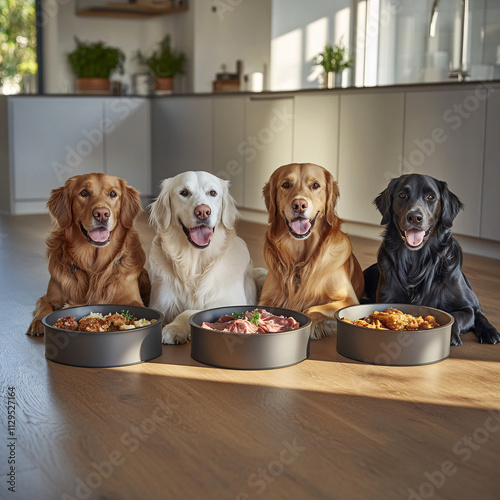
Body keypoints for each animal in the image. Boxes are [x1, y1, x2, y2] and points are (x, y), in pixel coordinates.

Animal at [364, 174, 500, 346]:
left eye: (430, 197)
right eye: (402, 195)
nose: (414, 217)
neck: (416, 262)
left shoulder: (466, 308)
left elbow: (457, 315)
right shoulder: (386, 299)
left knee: (479, 312)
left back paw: (490, 332)